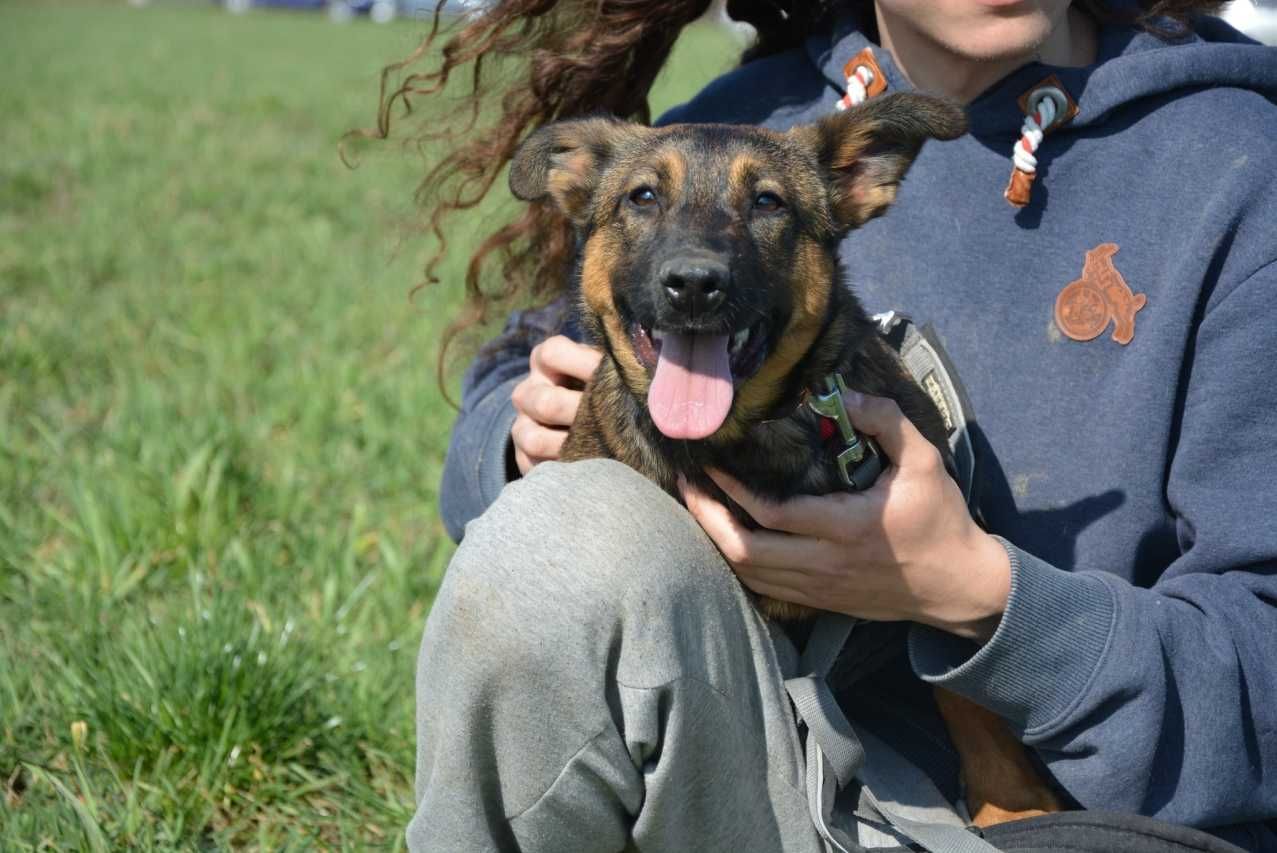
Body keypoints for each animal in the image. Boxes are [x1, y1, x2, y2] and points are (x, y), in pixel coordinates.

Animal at [505, 91, 1057, 827]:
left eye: (768, 203)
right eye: (642, 196)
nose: (693, 284)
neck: (733, 437)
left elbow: (963, 688)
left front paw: (1011, 802)